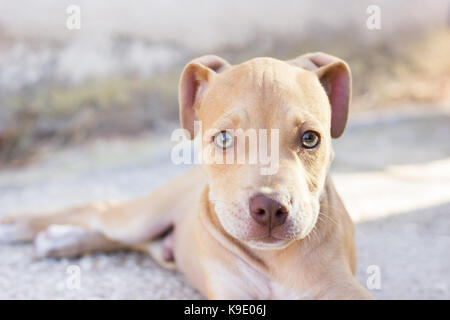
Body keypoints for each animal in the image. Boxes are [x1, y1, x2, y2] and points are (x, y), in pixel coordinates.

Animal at [0, 53, 372, 300]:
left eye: (310, 138)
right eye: (224, 139)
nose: (269, 208)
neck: (273, 261)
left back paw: (59, 240)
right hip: (141, 216)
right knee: (98, 209)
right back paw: (21, 227)